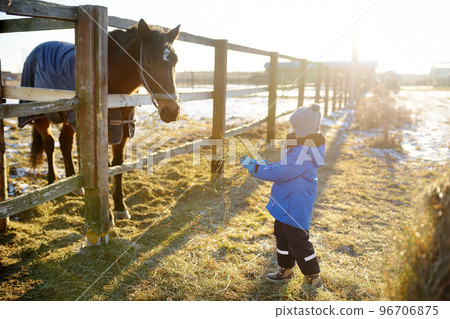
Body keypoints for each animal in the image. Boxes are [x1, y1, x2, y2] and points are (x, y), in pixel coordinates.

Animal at [18, 19, 179, 220]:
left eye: (175, 61)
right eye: (148, 61)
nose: (172, 111)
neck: (110, 78)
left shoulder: (122, 128)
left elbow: (117, 165)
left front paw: (120, 207)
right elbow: (104, 167)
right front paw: (107, 211)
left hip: (70, 118)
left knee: (65, 142)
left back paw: (73, 183)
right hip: (40, 116)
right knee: (49, 143)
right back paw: (52, 181)